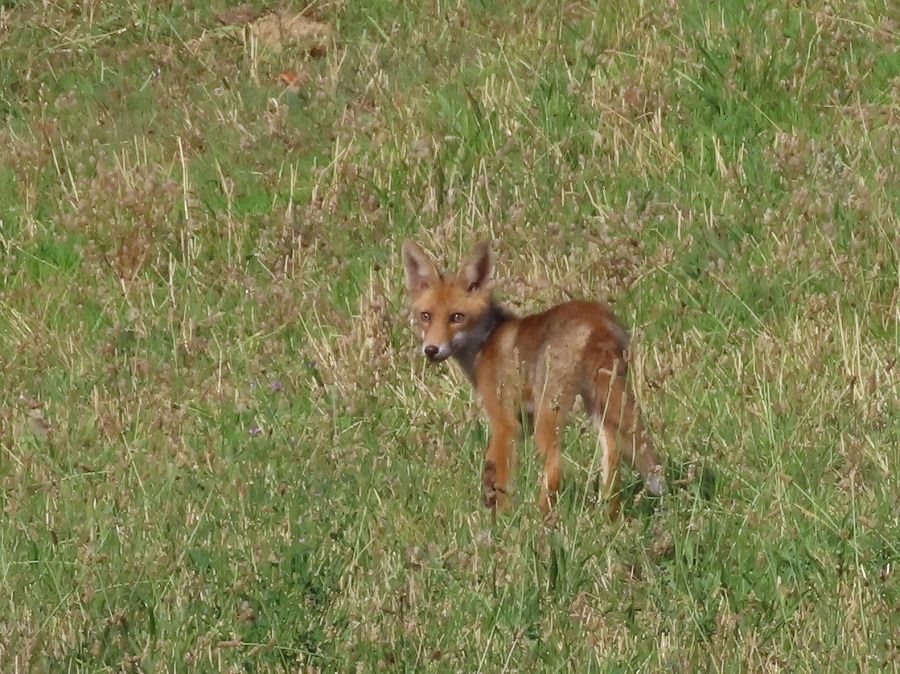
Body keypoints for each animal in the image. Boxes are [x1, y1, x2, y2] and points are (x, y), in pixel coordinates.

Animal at [402, 239, 666, 518]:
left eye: (457, 317)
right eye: (426, 316)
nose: (431, 350)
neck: (486, 340)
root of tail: (598, 320)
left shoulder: (505, 423)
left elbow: (501, 479)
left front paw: (501, 520)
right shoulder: (523, 422)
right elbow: (491, 471)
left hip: (548, 414)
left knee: (556, 467)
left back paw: (542, 519)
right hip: (600, 405)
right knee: (613, 459)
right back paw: (609, 515)